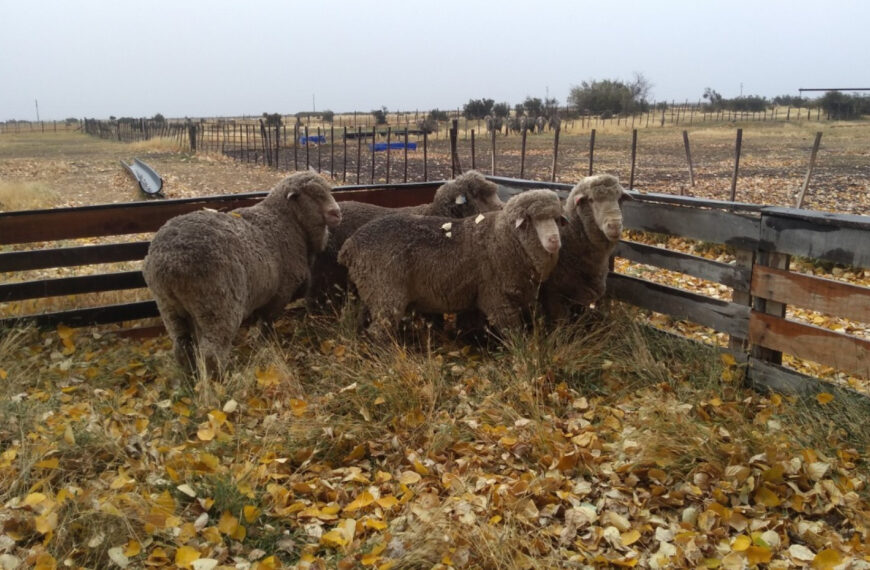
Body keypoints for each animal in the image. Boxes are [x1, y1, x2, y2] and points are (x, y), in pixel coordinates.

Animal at [142, 170, 340, 372]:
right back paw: (221, 377)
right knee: (212, 354)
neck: (286, 221)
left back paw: (191, 376)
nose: (337, 213)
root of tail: (167, 264)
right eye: (313, 195)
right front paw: (266, 345)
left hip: (169, 308)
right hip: (218, 306)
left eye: (328, 191)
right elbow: (267, 323)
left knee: (182, 347)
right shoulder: (280, 292)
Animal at [338, 189, 564, 338]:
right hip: (386, 293)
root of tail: (349, 245)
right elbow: (513, 333)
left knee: (363, 321)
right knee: (379, 331)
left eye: (556, 219)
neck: (502, 236)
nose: (555, 240)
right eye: (532, 219)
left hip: (371, 291)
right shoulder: (496, 298)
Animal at [540, 173, 632, 322]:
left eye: (619, 198)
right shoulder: (553, 294)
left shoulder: (581, 296)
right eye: (591, 200)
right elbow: (560, 322)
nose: (615, 226)